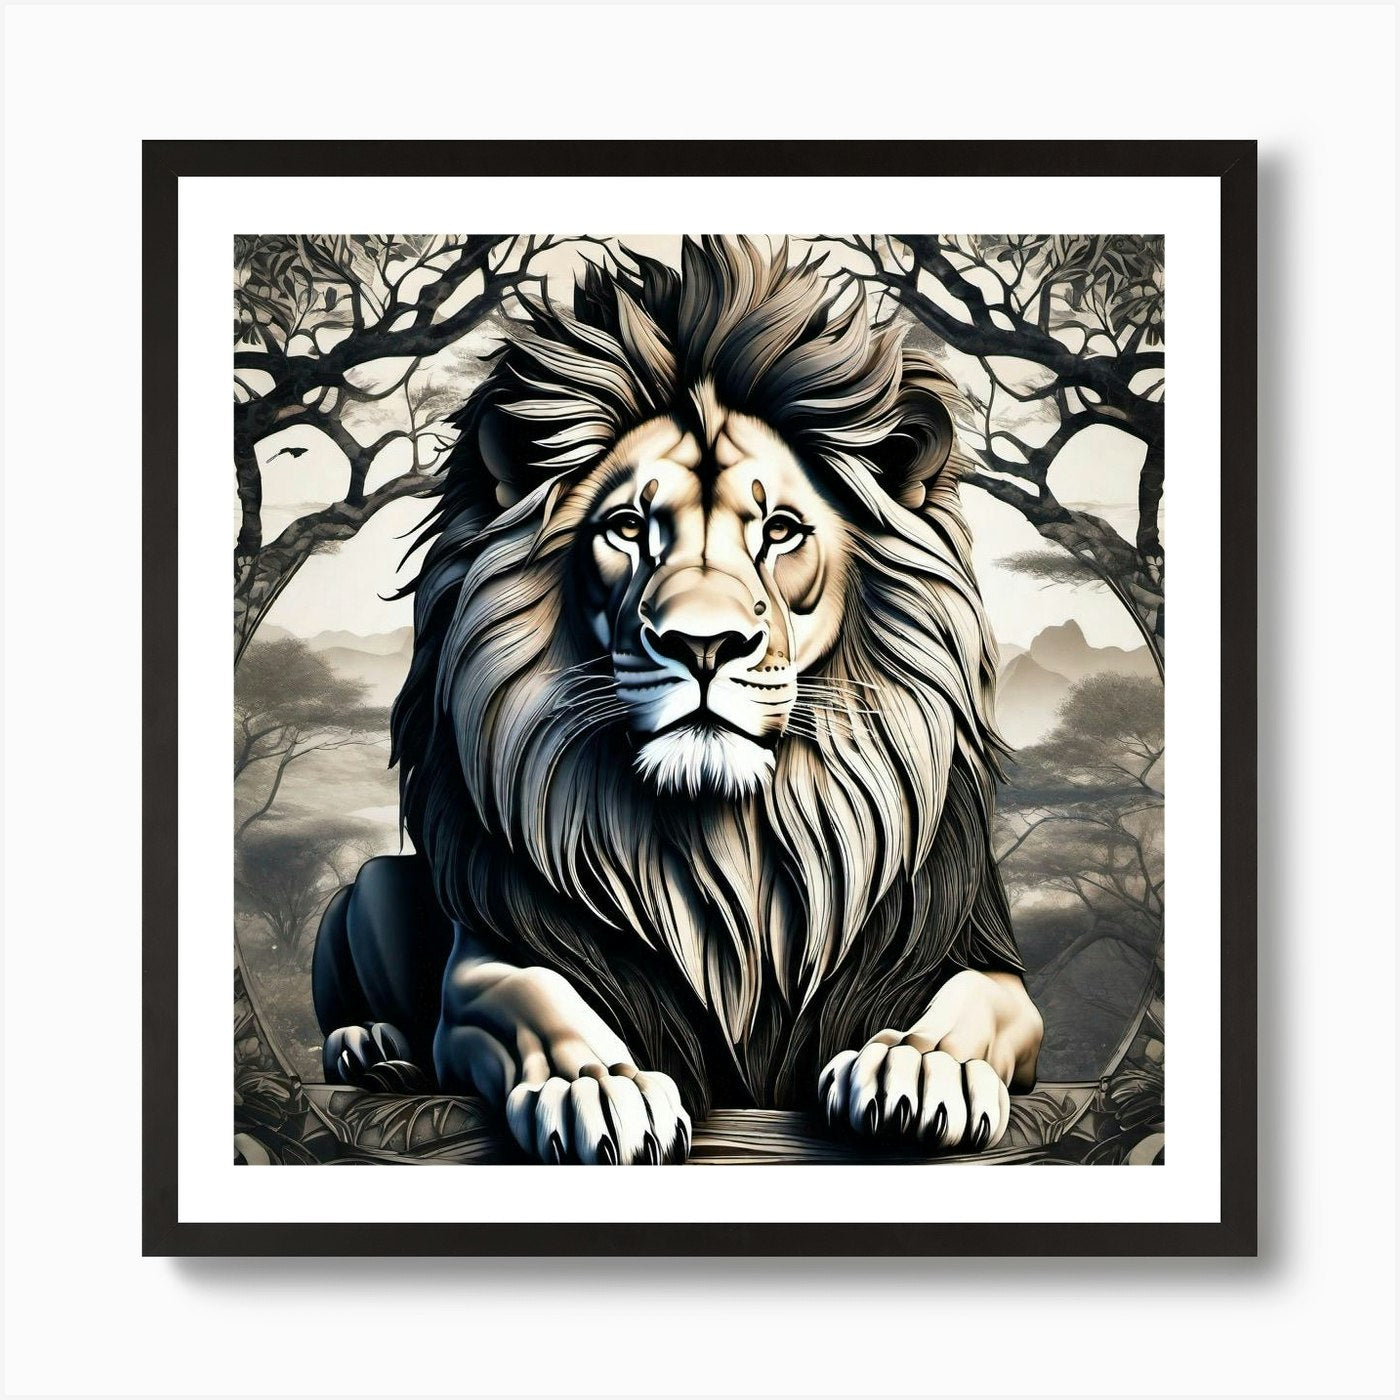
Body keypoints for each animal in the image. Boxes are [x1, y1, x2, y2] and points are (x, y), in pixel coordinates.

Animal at [311, 236, 1043, 1164]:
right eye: (628, 528)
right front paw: (596, 1087)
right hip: (366, 888)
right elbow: (538, 998)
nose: (703, 645)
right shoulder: (486, 961)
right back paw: (368, 1045)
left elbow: (972, 1005)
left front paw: (917, 1068)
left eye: (780, 532)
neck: (720, 845)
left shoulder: (980, 959)